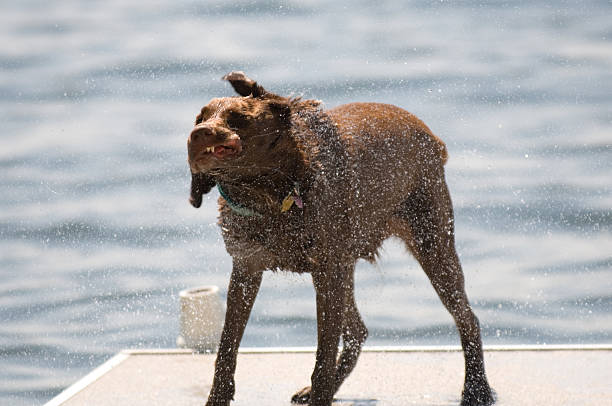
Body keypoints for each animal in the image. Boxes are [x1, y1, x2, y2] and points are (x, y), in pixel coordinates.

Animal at [185, 71, 492, 404]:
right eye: (200, 117)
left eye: (238, 118)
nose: (199, 134)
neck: (273, 193)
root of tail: (431, 136)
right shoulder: (247, 268)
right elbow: (227, 347)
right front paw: (217, 397)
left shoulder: (327, 272)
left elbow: (324, 355)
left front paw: (320, 392)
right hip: (350, 262)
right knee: (358, 331)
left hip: (432, 243)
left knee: (467, 318)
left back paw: (477, 389)